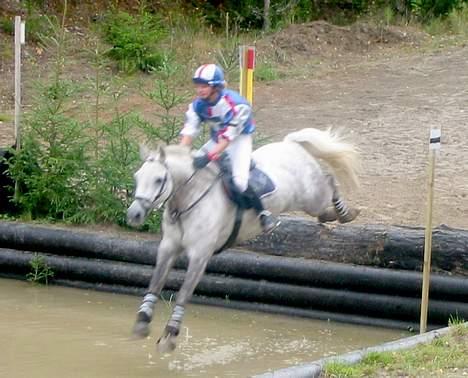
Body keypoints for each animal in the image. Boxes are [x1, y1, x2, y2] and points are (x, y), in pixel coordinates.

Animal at [126, 127, 360, 352]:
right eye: (136, 177)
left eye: (159, 179)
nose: (134, 215)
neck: (188, 199)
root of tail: (291, 143)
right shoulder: (168, 247)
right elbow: (155, 283)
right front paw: (142, 321)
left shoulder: (200, 255)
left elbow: (183, 293)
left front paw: (170, 336)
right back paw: (333, 215)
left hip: (312, 198)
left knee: (330, 181)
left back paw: (345, 213)